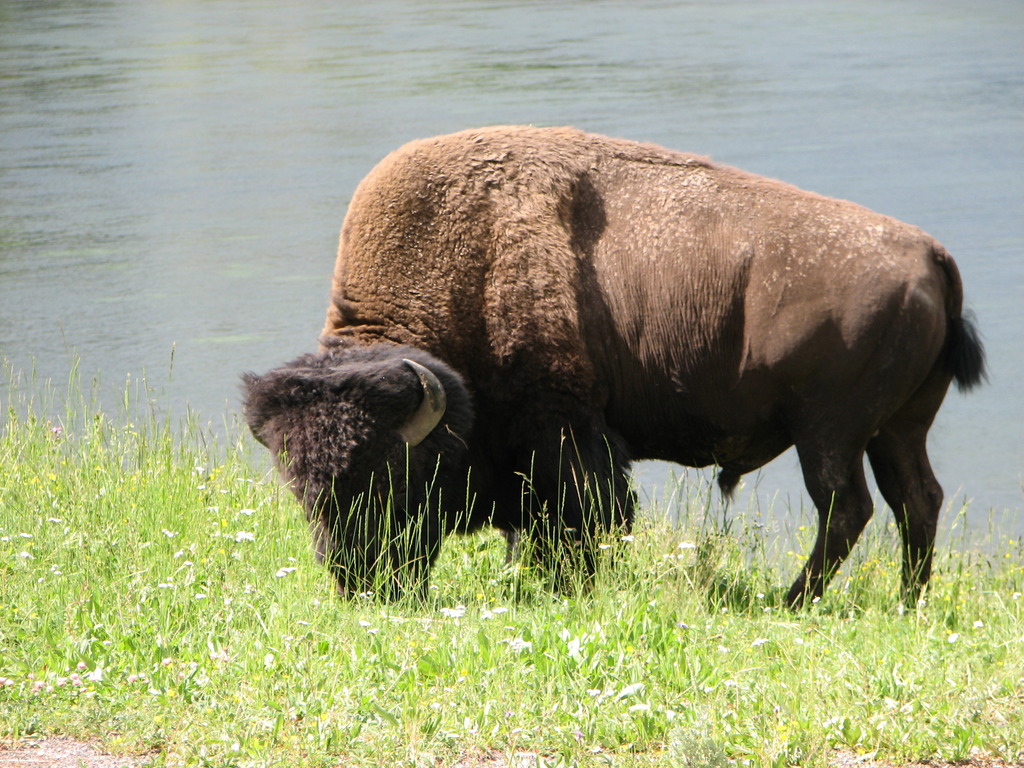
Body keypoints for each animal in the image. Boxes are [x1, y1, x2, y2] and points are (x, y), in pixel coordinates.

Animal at [241, 126, 983, 606]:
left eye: (391, 473)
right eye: (297, 485)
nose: (357, 581)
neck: (468, 265)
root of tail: (933, 257)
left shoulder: (566, 433)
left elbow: (586, 515)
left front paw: (571, 584)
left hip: (828, 431)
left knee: (848, 508)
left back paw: (790, 601)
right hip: (895, 428)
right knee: (916, 499)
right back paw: (907, 603)